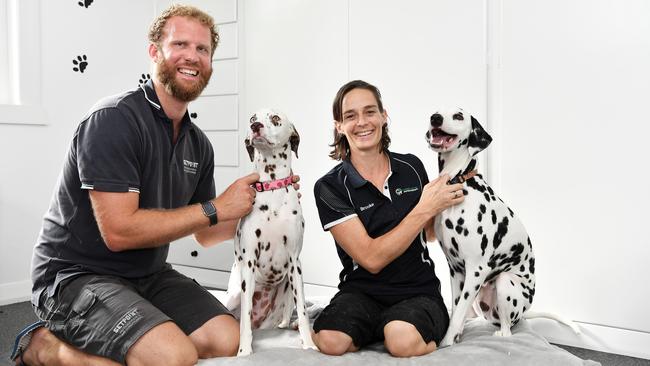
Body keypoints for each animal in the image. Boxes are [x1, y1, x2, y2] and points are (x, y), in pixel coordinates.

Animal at [224, 108, 318, 354]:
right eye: (251, 118)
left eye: (276, 118)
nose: (255, 126)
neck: (272, 189)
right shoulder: (248, 262)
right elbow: (244, 320)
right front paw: (244, 352)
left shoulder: (295, 261)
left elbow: (302, 311)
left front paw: (309, 345)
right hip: (234, 295)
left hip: (288, 288)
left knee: (289, 315)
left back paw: (291, 324)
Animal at [426, 107, 576, 348]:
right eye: (437, 112)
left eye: (458, 116)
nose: (435, 118)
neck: (459, 182)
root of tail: (524, 312)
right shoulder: (456, 270)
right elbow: (457, 309)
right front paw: (456, 336)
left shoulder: (476, 269)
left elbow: (457, 315)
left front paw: (446, 343)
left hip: (505, 282)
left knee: (507, 329)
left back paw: (502, 335)